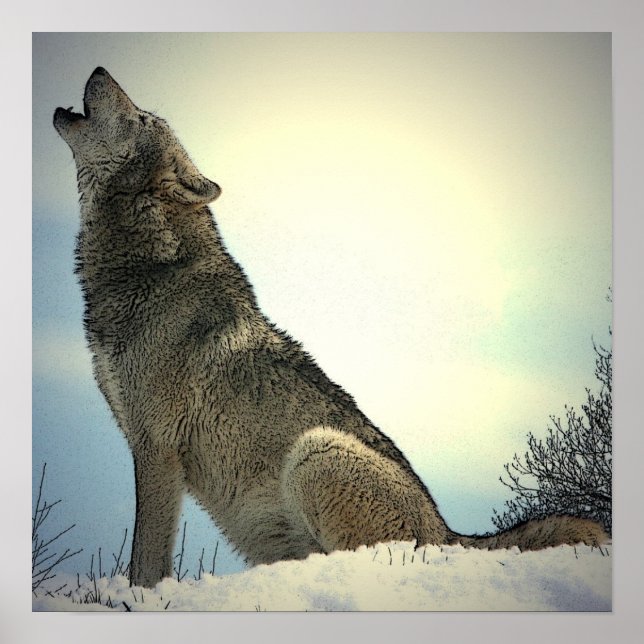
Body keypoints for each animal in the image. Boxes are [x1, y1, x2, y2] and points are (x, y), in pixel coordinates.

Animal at [53, 68, 608, 588]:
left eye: (141, 117)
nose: (99, 69)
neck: (149, 268)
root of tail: (449, 534)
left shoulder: (157, 448)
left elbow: (144, 560)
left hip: (315, 451)